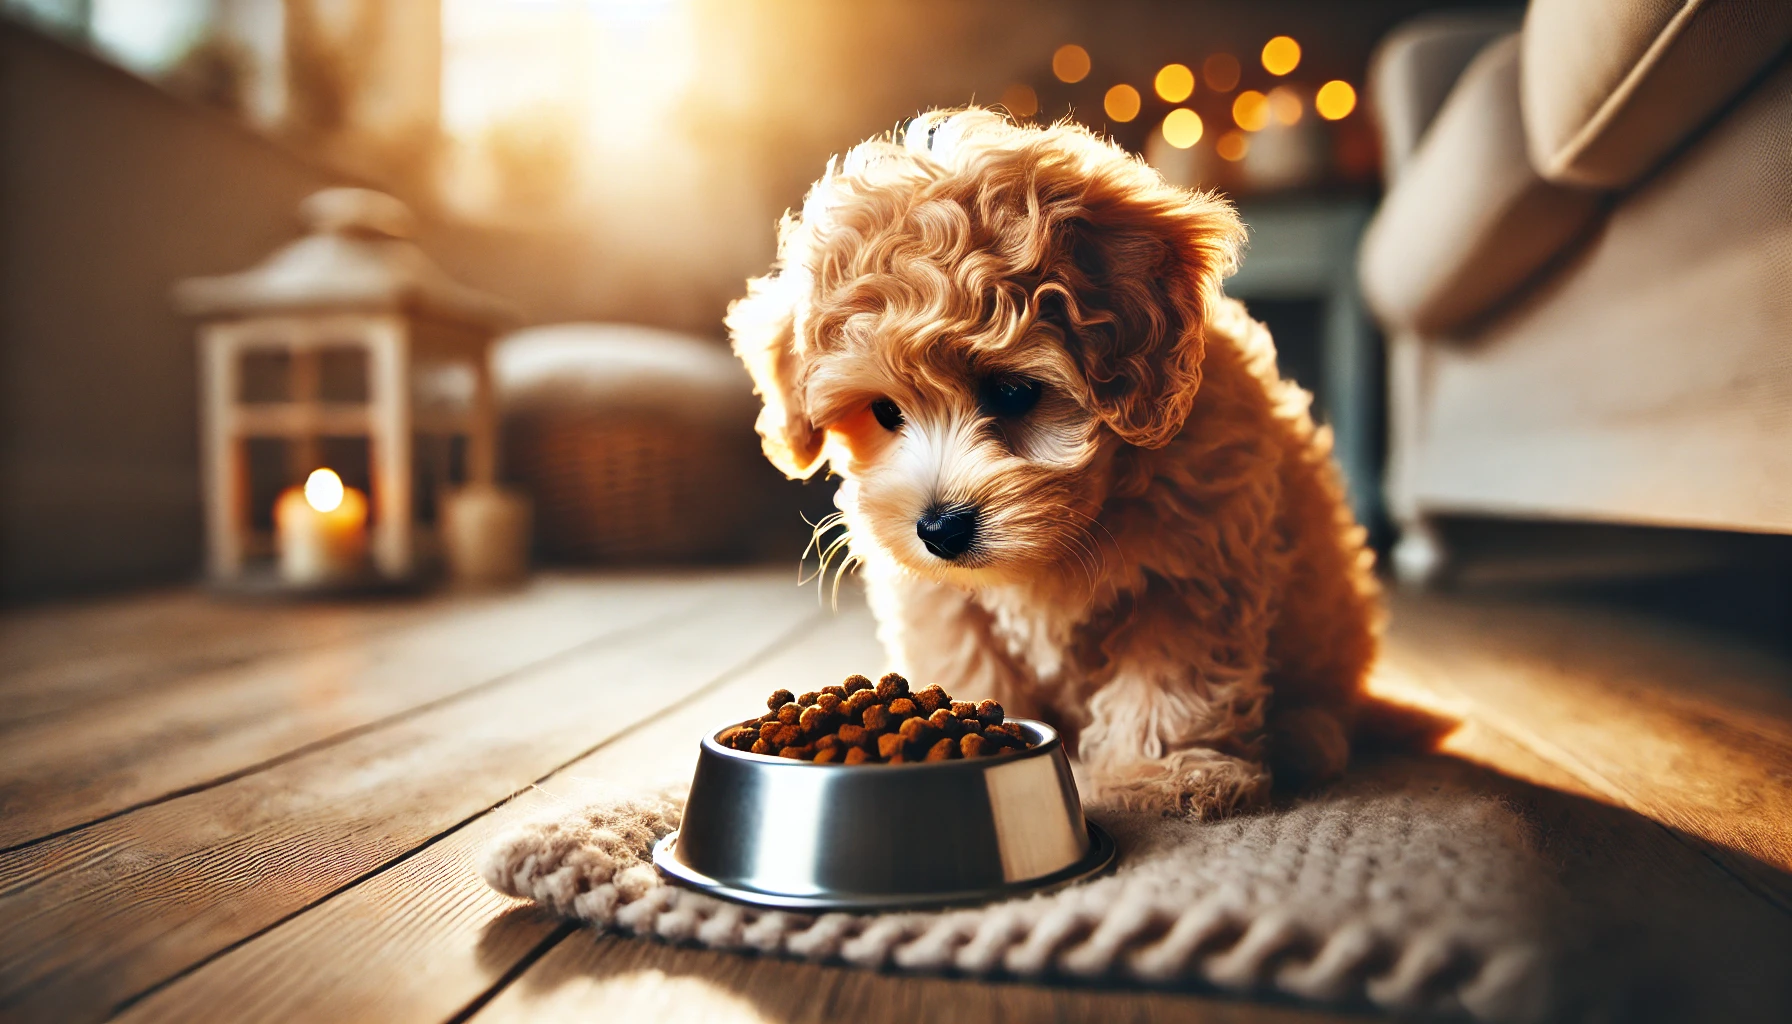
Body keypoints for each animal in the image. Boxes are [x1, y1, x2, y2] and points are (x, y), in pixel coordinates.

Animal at [720, 108, 1376, 817]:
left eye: (1013, 392)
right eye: (885, 413)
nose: (939, 529)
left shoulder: (1192, 568)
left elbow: (1170, 676)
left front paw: (1164, 775)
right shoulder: (942, 599)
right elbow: (968, 657)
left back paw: (1306, 736)